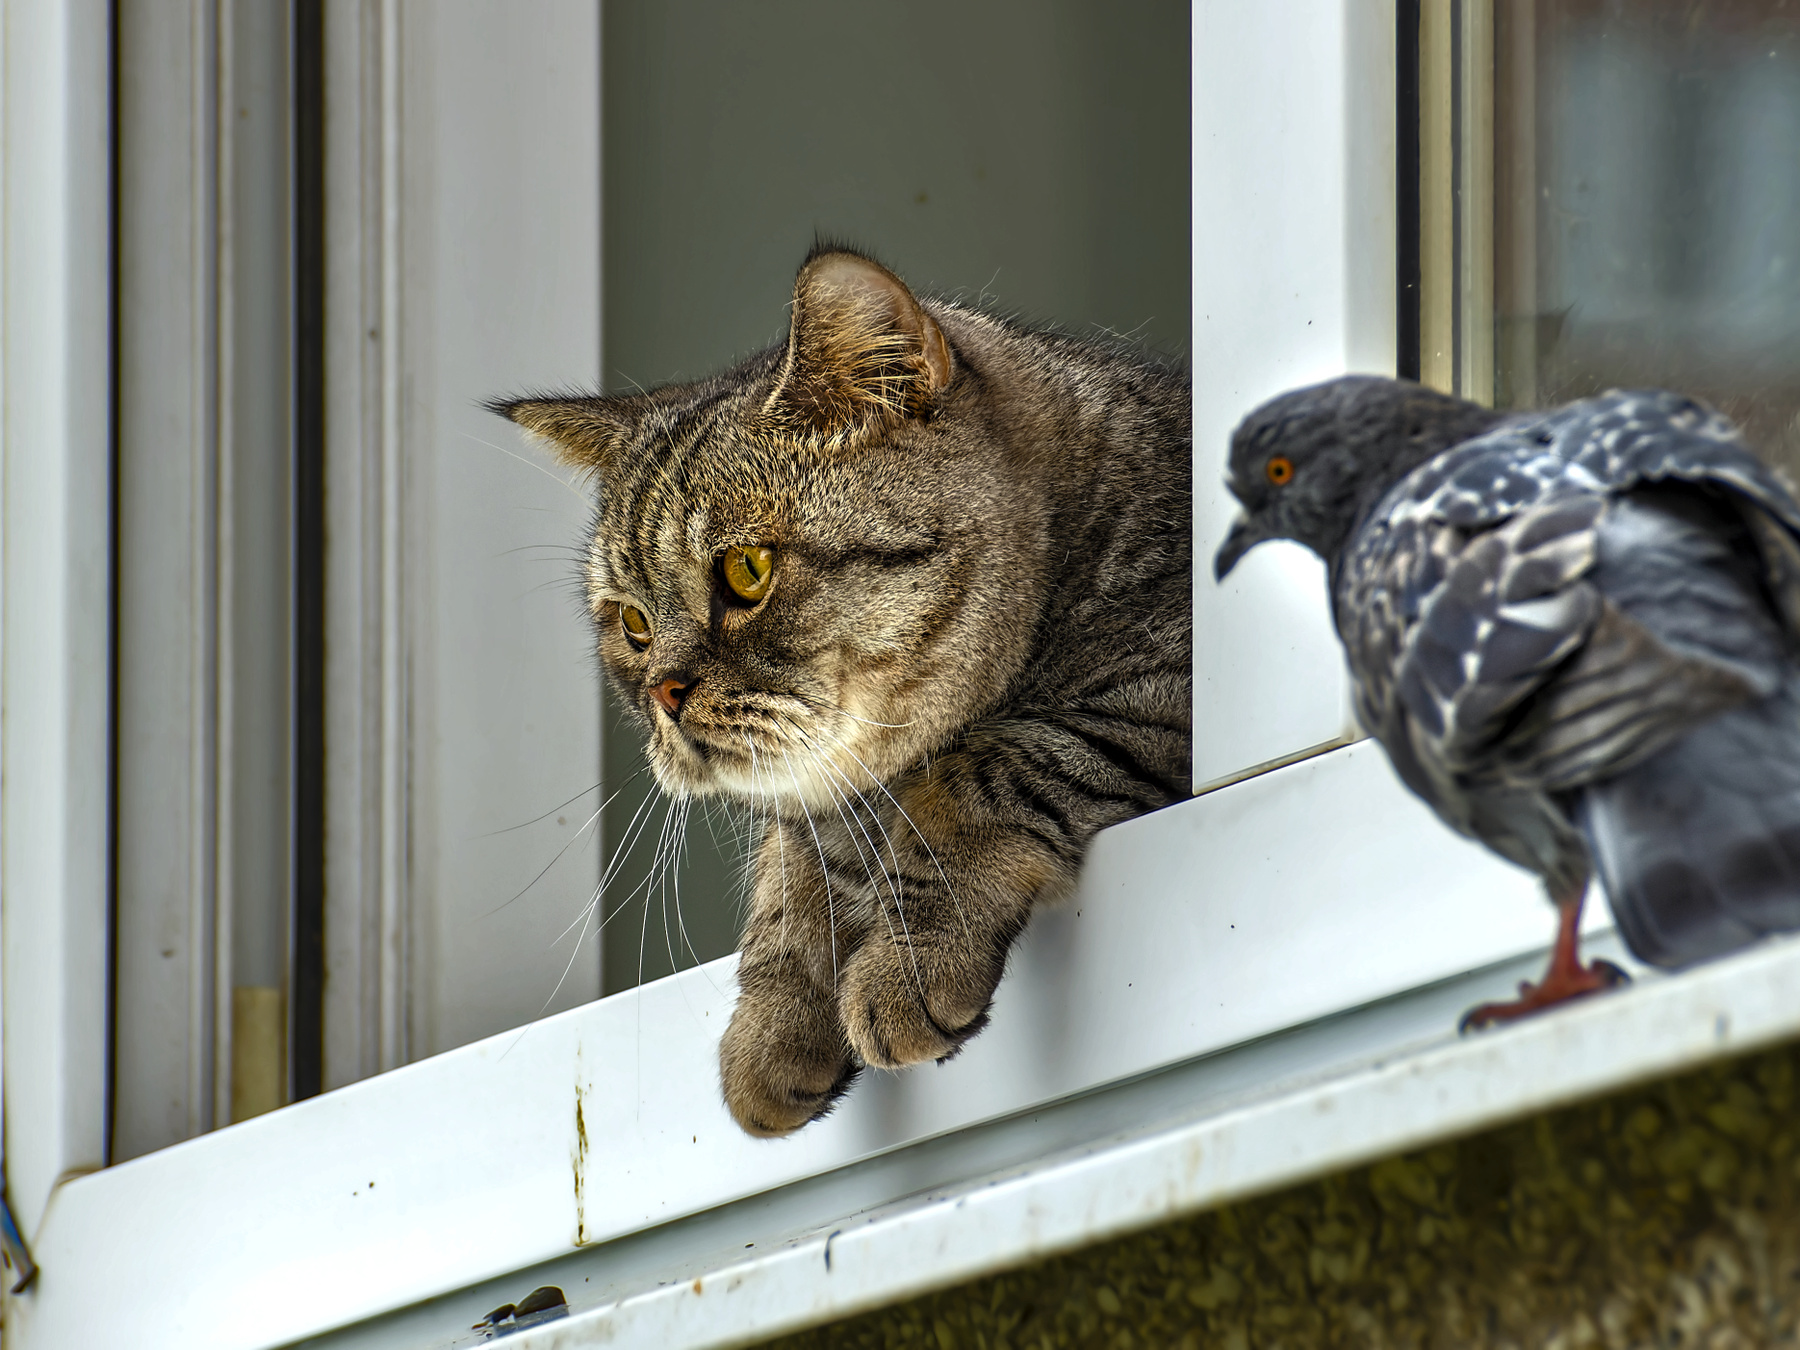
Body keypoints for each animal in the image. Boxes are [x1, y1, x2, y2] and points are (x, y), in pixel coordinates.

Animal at [496, 248, 1195, 1137]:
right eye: (633, 624)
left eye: (746, 570)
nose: (663, 692)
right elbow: (799, 856)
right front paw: (778, 1011)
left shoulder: (1166, 681)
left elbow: (983, 769)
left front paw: (907, 961)